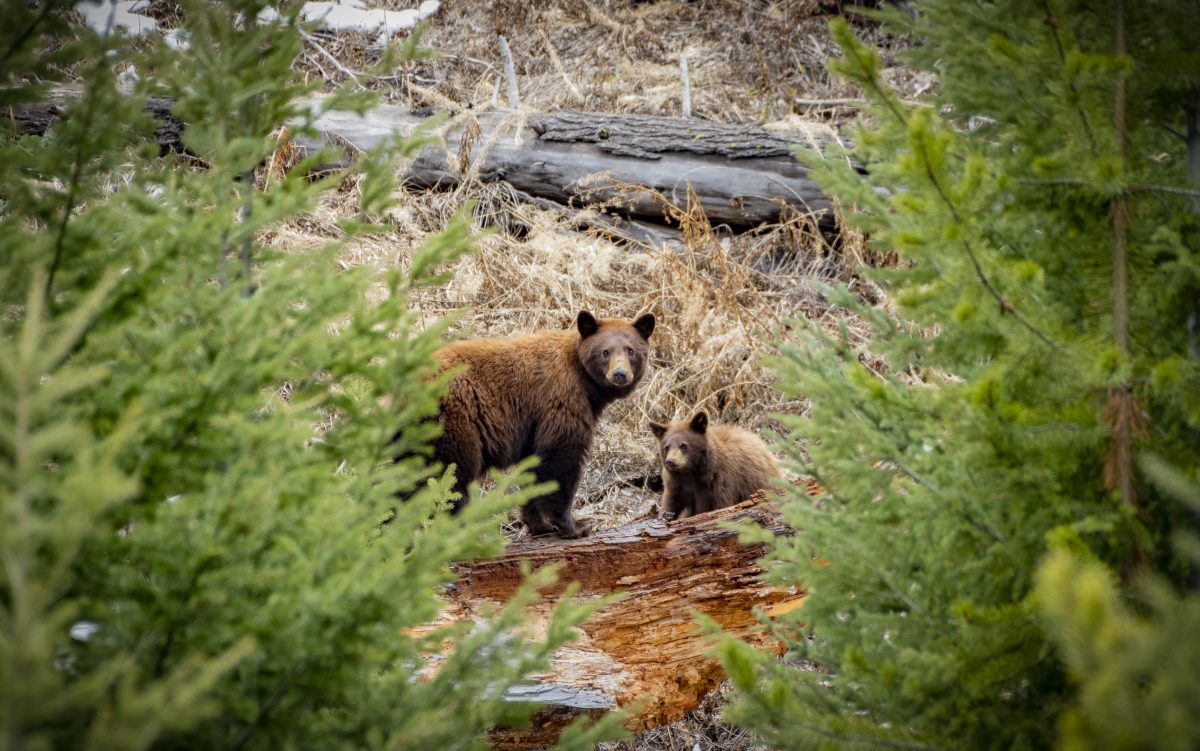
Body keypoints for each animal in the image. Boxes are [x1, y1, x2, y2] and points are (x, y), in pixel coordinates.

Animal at [434, 311, 657, 537]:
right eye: (605, 352)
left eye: (630, 350)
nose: (620, 374)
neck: (582, 378)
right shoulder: (561, 400)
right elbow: (561, 458)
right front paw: (575, 525)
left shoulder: (533, 429)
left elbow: (532, 468)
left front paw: (539, 525)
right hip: (455, 427)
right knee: (450, 479)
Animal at [648, 410, 777, 520]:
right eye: (666, 447)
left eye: (683, 445)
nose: (670, 461)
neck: (690, 472)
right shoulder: (675, 484)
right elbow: (671, 505)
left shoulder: (718, 482)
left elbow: (719, 505)